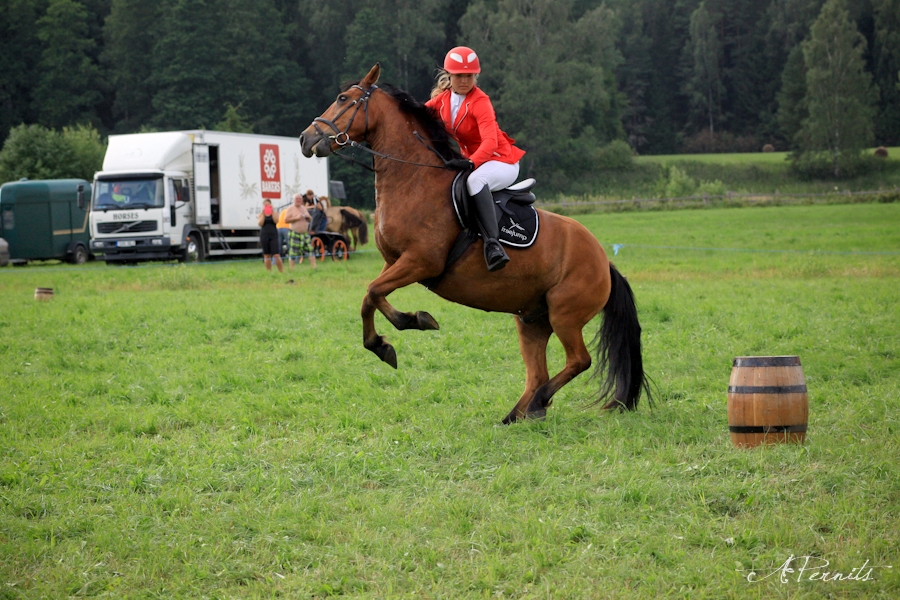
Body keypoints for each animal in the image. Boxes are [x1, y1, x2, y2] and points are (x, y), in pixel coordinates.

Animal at [299, 64, 651, 423]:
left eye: (344, 99)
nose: (305, 139)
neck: (412, 180)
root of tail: (604, 262)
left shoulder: (420, 262)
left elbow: (371, 293)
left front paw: (395, 335)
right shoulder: (395, 262)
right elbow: (372, 295)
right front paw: (406, 326)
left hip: (565, 314)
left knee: (579, 360)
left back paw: (537, 403)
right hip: (532, 319)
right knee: (538, 372)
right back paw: (517, 415)